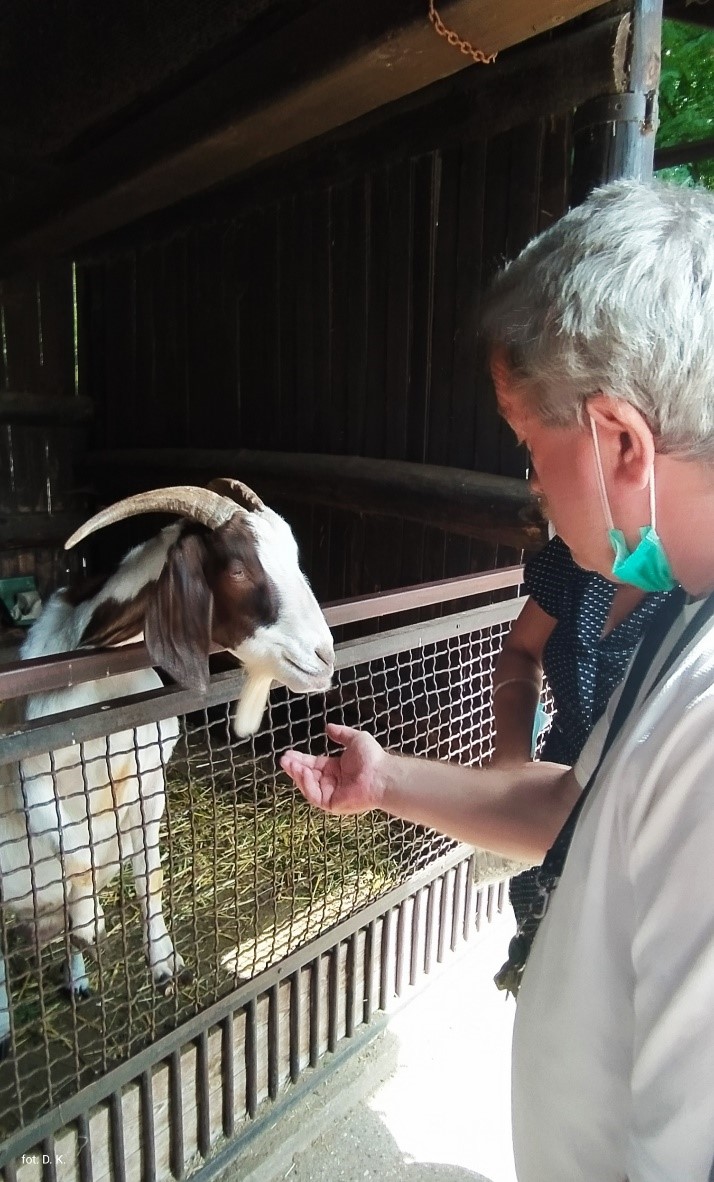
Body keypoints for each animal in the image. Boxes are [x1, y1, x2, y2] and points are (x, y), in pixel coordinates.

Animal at [0, 475, 335, 1049]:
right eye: (239, 568)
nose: (325, 657)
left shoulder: (148, 778)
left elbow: (148, 876)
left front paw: (164, 964)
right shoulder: (34, 775)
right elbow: (79, 859)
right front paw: (88, 922)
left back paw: (77, 978)